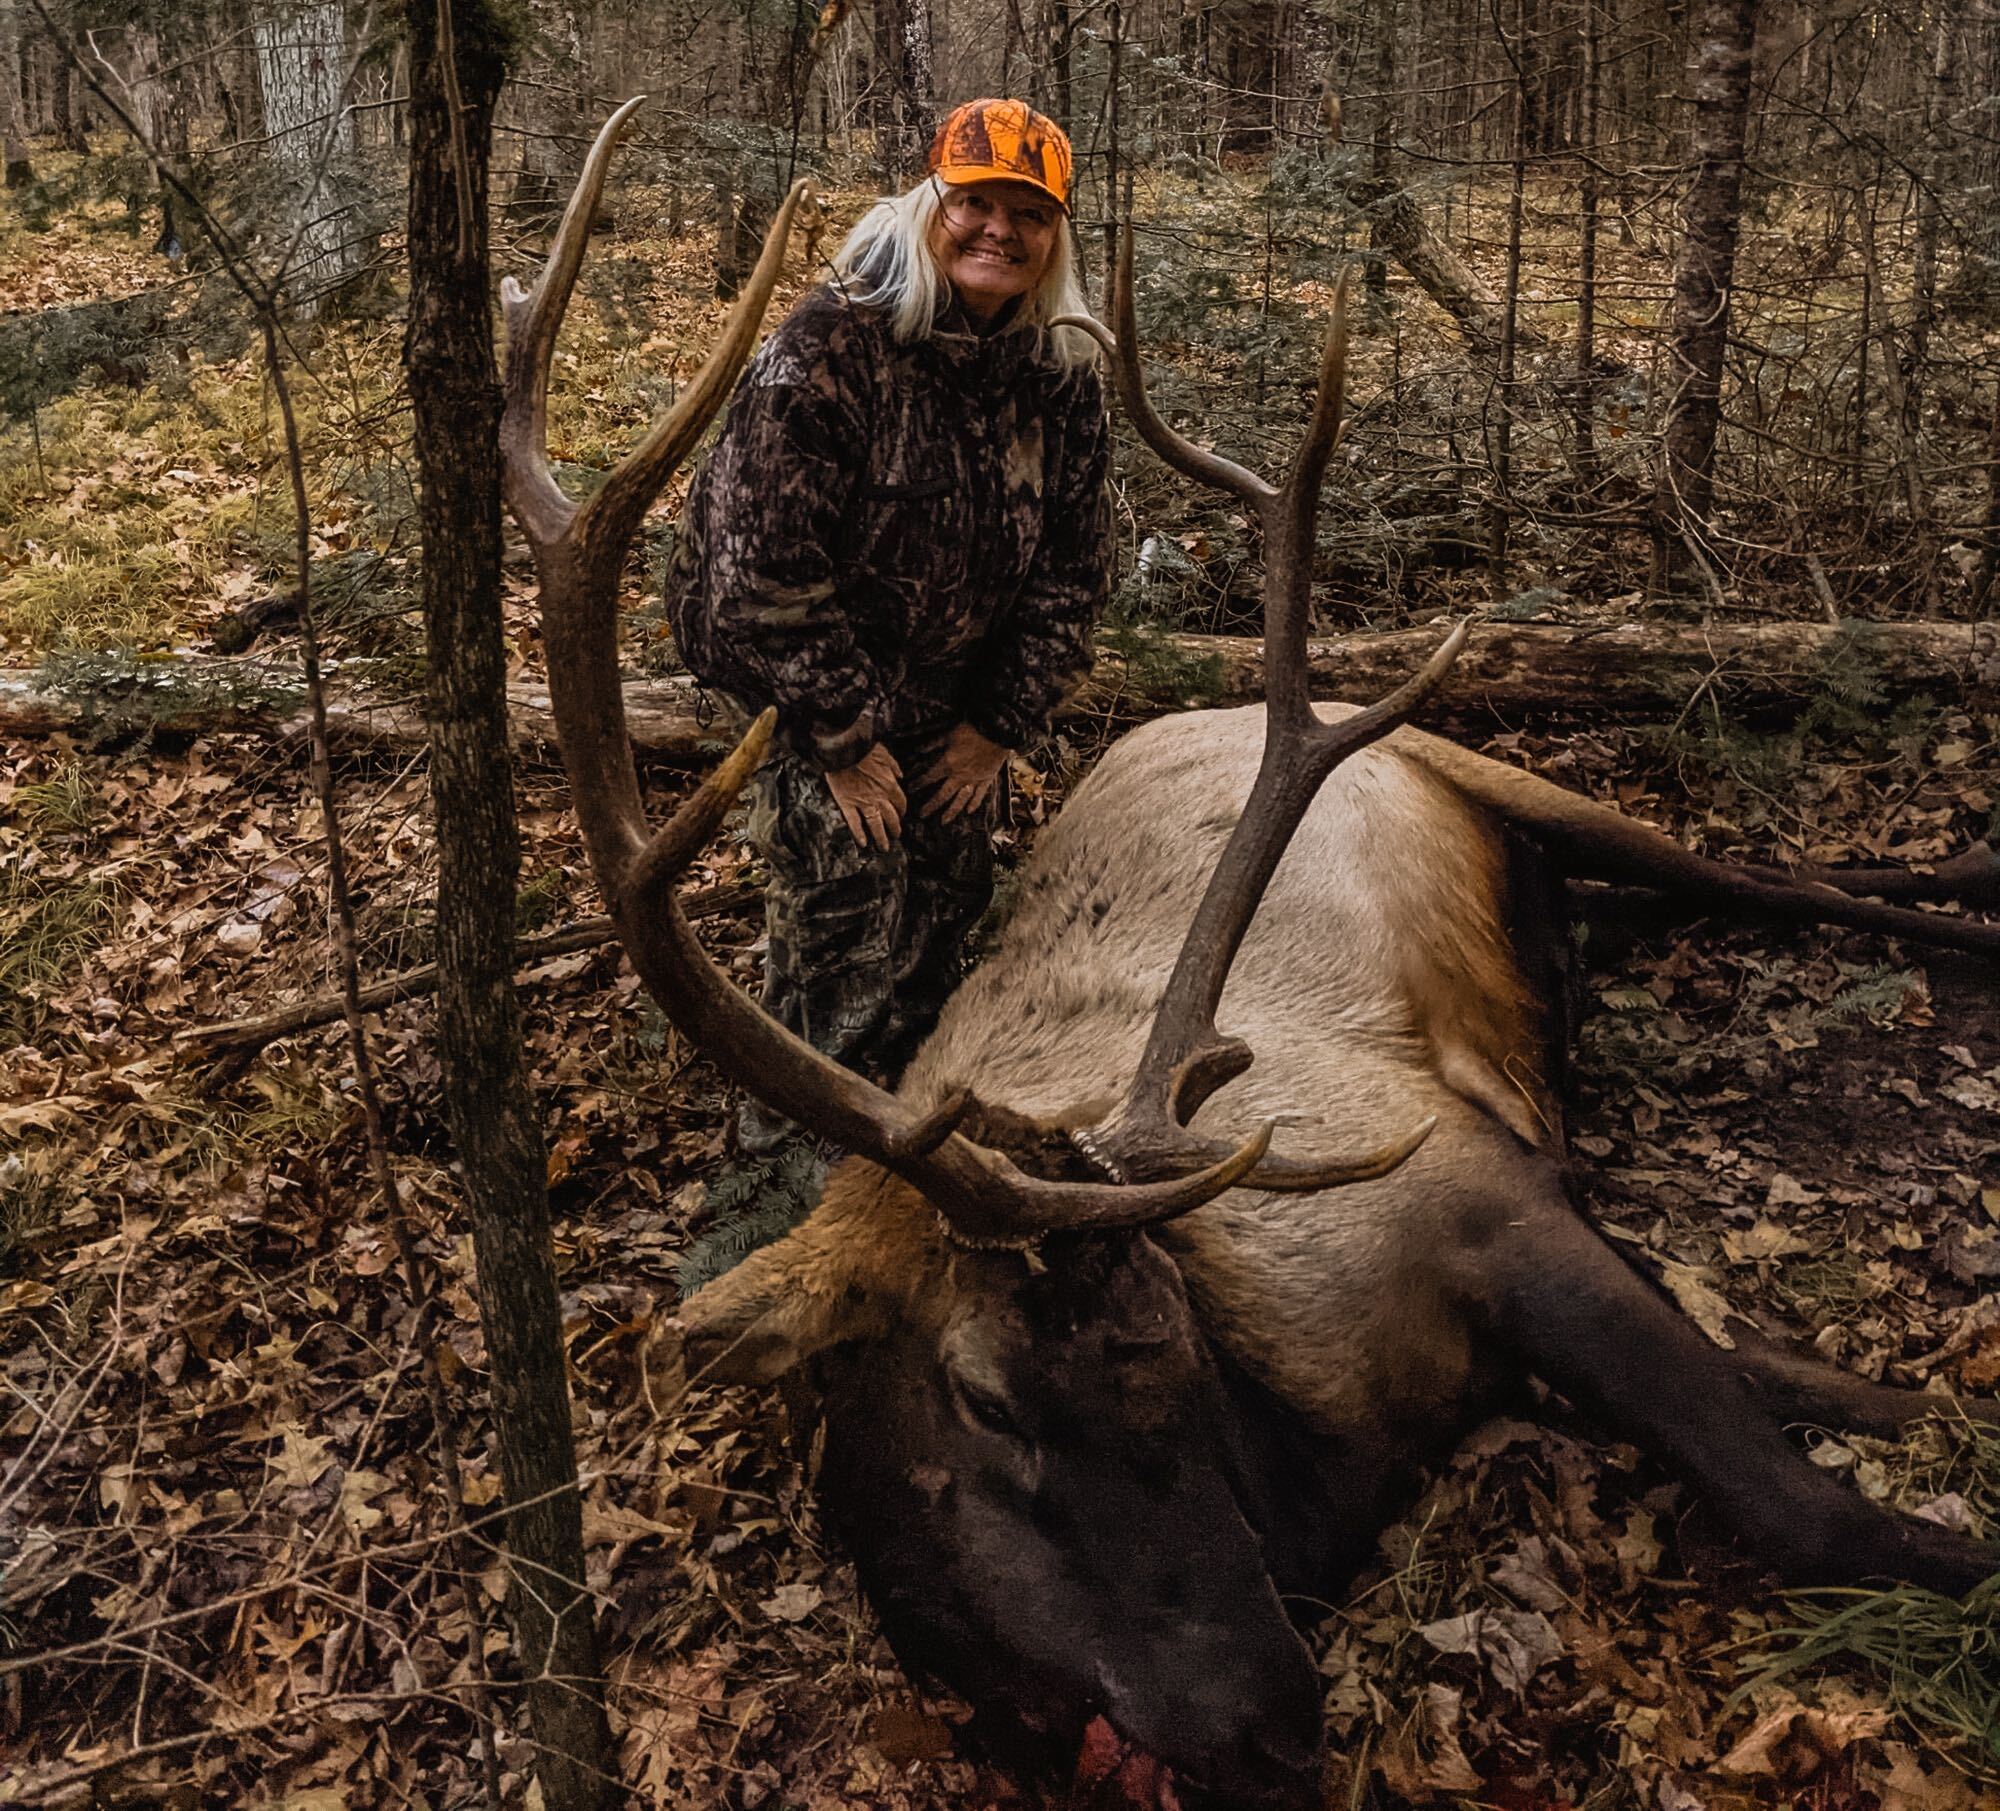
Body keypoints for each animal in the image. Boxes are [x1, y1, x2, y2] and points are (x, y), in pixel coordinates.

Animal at [504, 102, 2000, 1807]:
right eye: (982, 1395)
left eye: (1171, 1344)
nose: (1272, 1716)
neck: (1317, 1446)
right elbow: (1770, 1394)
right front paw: (1898, 1394)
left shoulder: (1477, 1194)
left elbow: (1800, 1495)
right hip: (1560, 894)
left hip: (1522, 780)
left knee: (1790, 872)